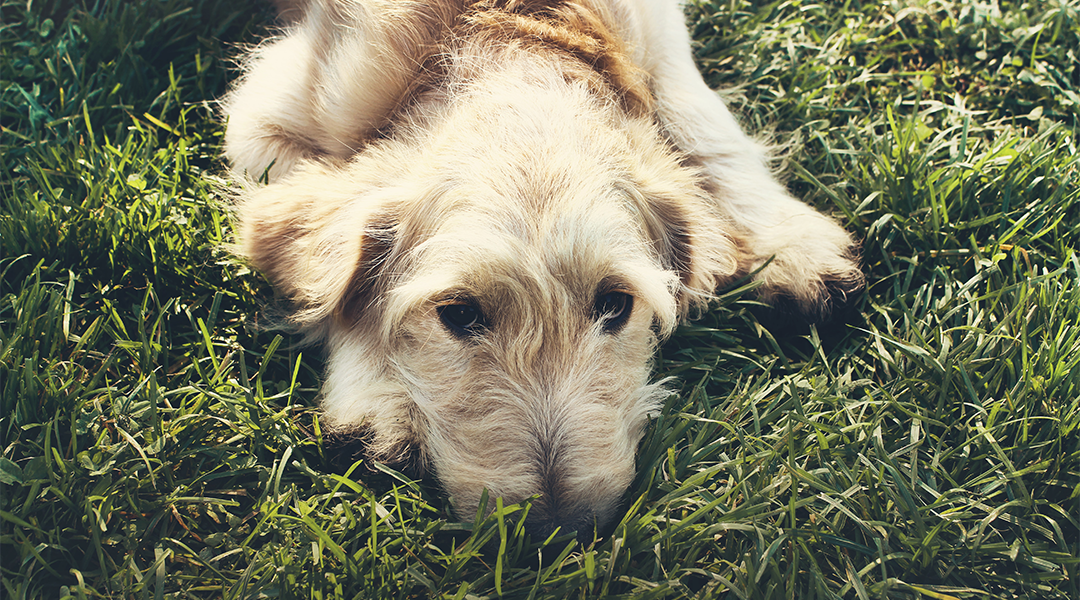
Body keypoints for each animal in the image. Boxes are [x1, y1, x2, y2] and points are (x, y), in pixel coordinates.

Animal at [223, 0, 864, 535]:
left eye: (616, 304)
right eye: (458, 314)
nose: (557, 532)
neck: (509, 28)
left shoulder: (659, 29)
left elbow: (702, 119)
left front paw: (793, 245)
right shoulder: (262, 119)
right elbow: (336, 287)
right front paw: (378, 399)